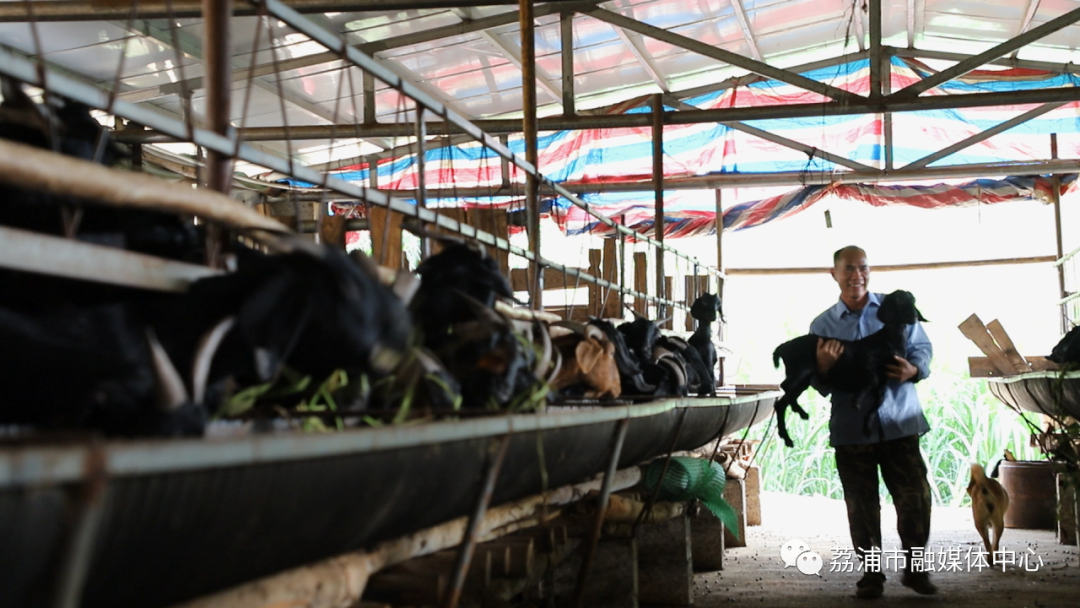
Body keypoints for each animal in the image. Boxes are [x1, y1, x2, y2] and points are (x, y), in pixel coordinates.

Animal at [768, 289, 928, 447]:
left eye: (913, 301)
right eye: (899, 300)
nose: (914, 316)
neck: (890, 339)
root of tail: (784, 347)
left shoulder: (885, 379)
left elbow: (878, 402)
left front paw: (867, 427)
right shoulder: (866, 358)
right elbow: (873, 379)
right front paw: (856, 401)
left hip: (803, 380)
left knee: (781, 403)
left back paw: (788, 436)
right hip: (800, 370)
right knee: (784, 387)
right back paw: (799, 411)